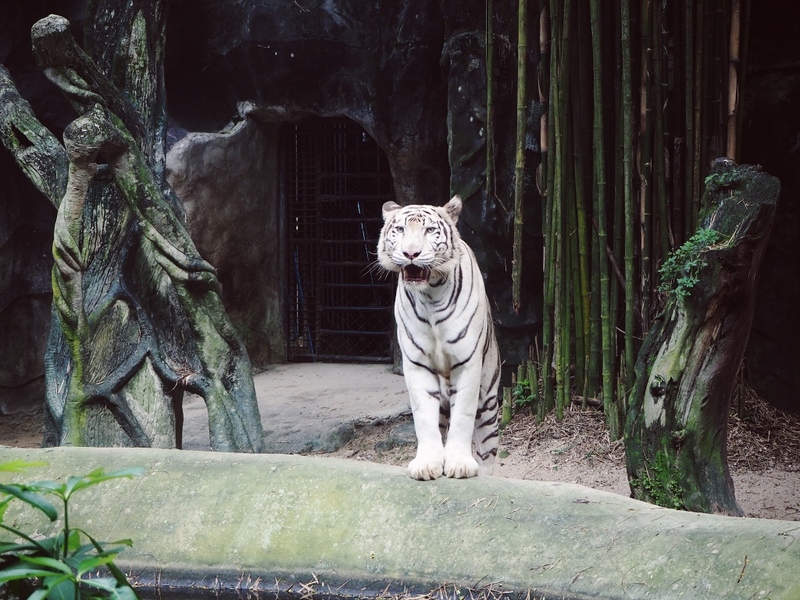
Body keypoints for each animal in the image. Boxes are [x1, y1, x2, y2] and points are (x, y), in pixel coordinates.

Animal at [378, 195, 501, 480]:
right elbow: (424, 418)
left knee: (487, 446)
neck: (430, 294)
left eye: (429, 230)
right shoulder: (417, 364)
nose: (411, 253)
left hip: (489, 399)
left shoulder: (467, 363)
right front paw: (426, 464)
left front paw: (460, 465)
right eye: (400, 229)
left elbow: (463, 417)